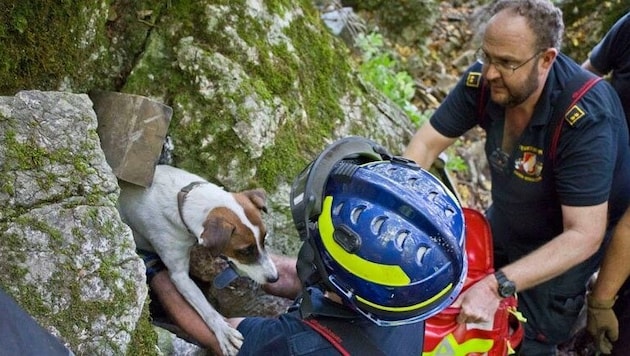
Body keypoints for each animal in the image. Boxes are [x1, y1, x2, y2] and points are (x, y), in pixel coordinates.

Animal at [116, 165, 278, 356]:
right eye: (245, 251)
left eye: (264, 238)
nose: (275, 278)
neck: (184, 201)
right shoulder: (180, 276)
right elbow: (207, 309)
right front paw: (223, 330)